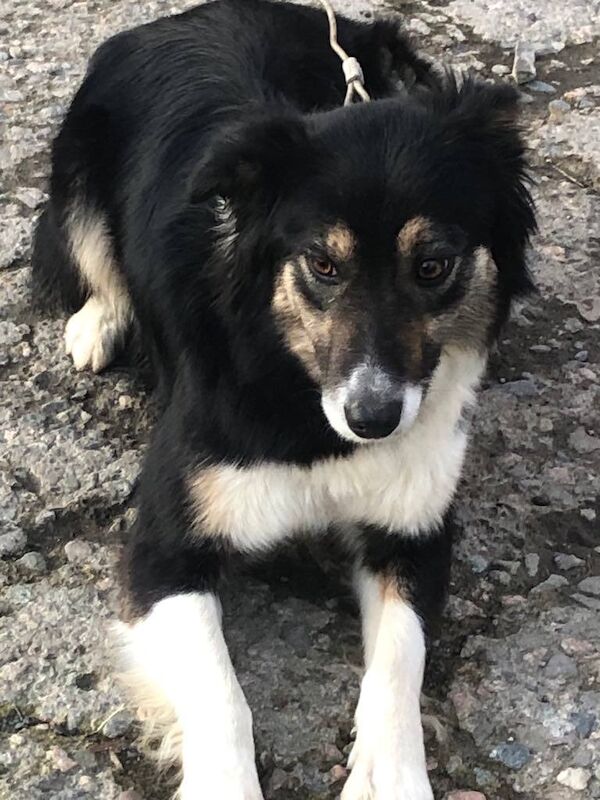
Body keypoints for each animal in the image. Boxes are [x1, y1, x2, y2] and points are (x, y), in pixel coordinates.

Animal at [31, 0, 536, 796]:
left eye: (434, 266)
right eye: (322, 265)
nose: (373, 420)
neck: (298, 388)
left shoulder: (414, 531)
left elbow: (400, 662)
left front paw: (392, 775)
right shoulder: (164, 545)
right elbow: (222, 698)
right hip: (76, 166)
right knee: (91, 256)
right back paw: (97, 322)